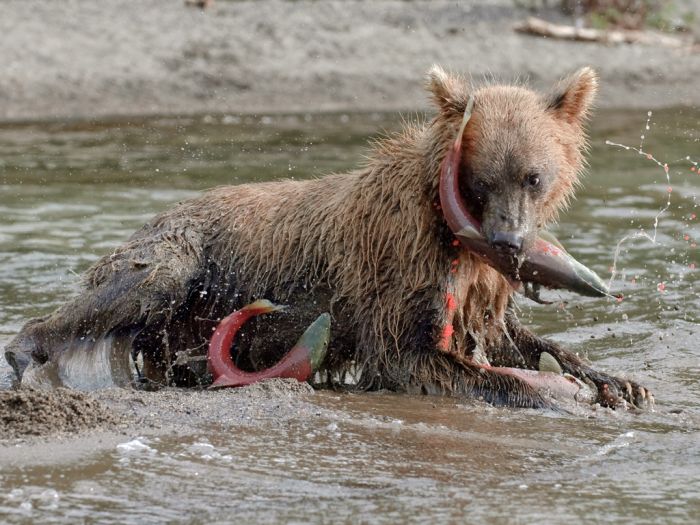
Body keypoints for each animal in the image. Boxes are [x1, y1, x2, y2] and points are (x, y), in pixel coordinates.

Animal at [4, 65, 652, 408]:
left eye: (533, 176)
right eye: (481, 180)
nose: (509, 242)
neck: (446, 230)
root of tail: (158, 213)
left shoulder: (475, 286)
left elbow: (510, 336)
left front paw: (616, 381)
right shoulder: (395, 268)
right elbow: (415, 356)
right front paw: (552, 391)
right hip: (181, 255)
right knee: (126, 292)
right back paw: (28, 357)